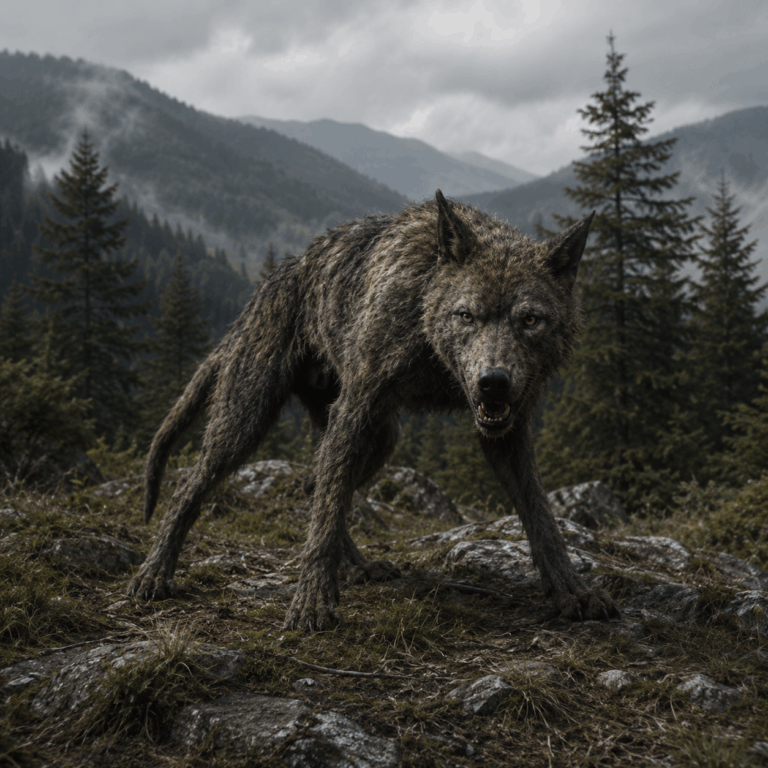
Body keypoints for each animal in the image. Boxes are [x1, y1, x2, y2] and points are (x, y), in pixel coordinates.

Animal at [128, 190, 619, 629]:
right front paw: (312, 601)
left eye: (530, 320)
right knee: (195, 488)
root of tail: (271, 281)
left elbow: (542, 519)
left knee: (315, 484)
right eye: (466, 316)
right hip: (248, 421)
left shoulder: (508, 433)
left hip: (381, 436)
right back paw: (155, 573)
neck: (425, 315)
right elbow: (325, 519)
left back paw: (358, 567)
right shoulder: (356, 408)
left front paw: (572, 591)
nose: (493, 381)